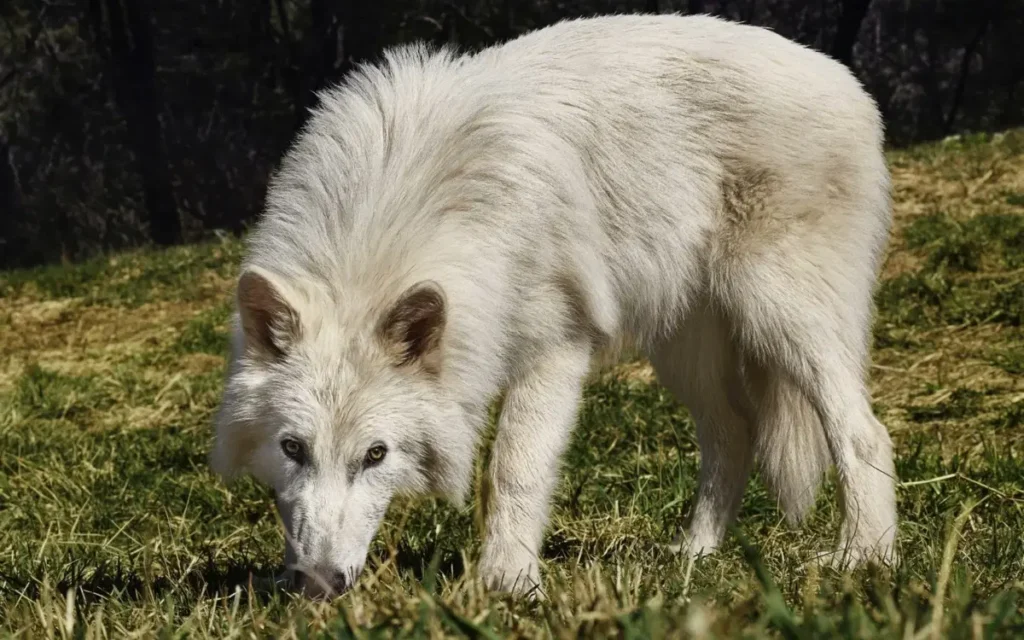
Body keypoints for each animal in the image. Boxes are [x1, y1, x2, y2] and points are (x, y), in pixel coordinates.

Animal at [211, 13, 897, 599]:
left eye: (376, 455)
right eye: (293, 448)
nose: (316, 585)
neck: (400, 214)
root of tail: (846, 80)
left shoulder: (556, 349)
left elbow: (513, 468)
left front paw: (509, 584)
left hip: (782, 317)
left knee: (863, 432)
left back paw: (864, 558)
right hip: (685, 351)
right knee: (734, 434)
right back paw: (695, 556)